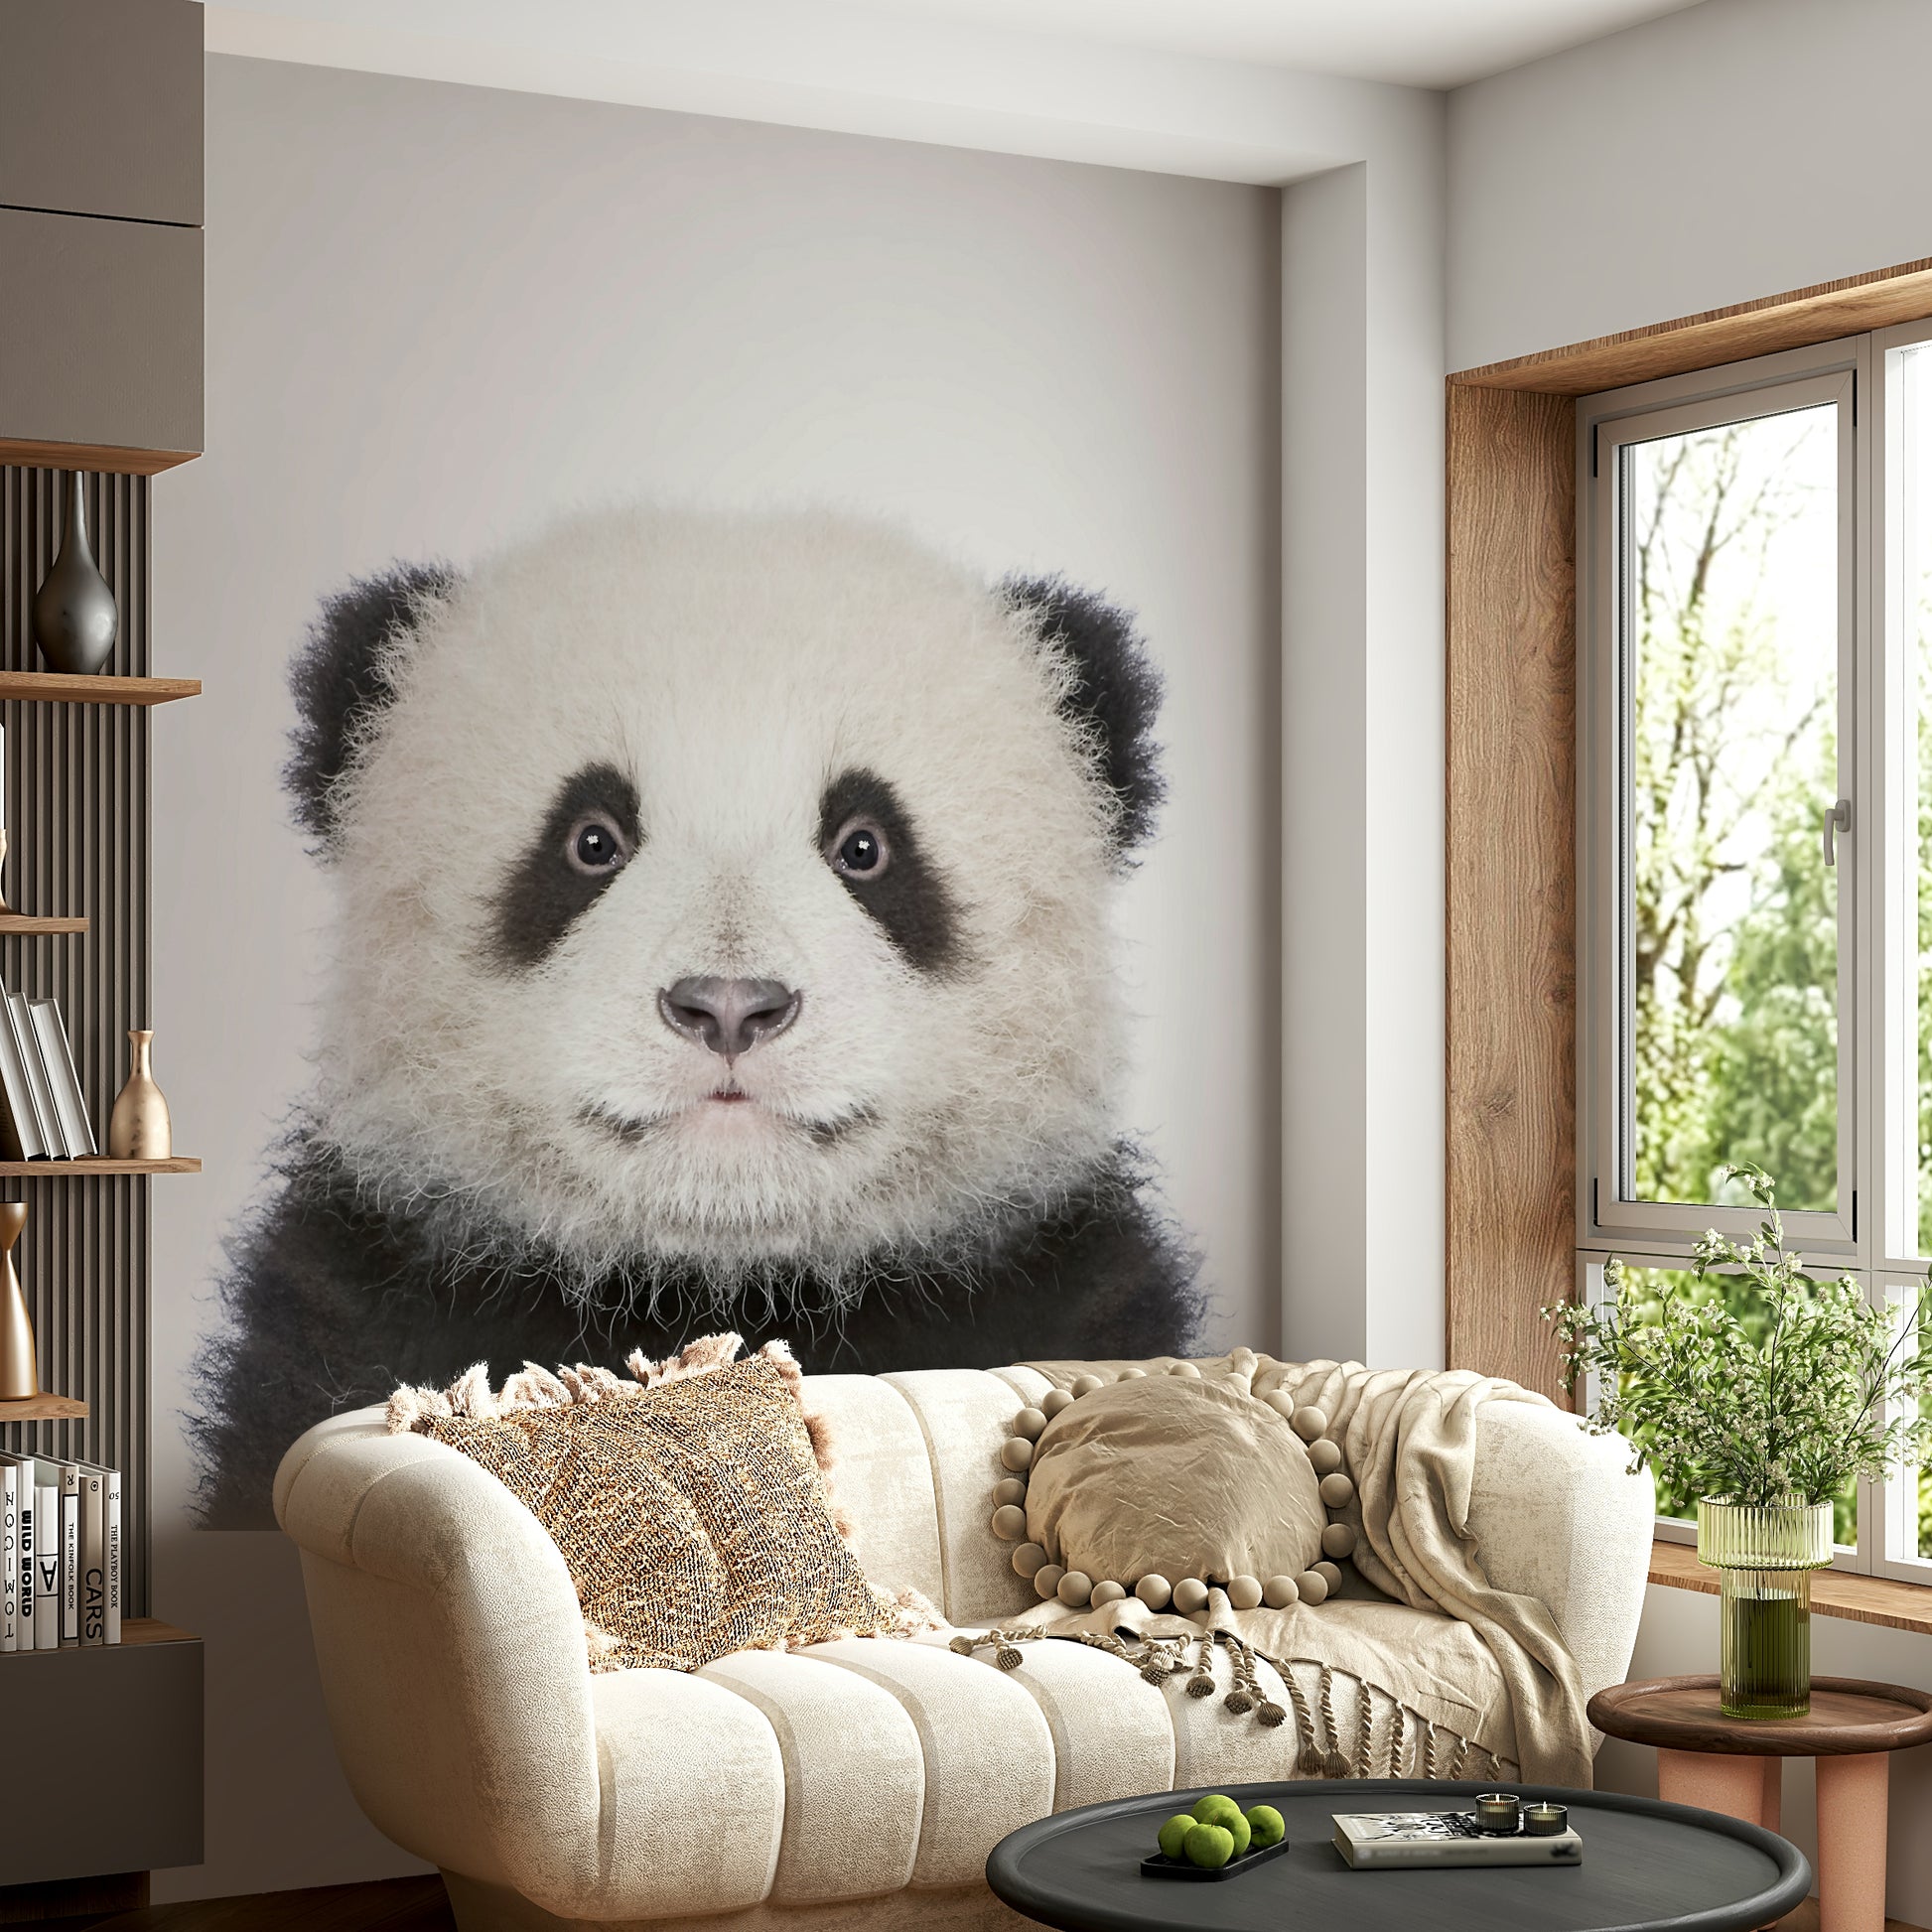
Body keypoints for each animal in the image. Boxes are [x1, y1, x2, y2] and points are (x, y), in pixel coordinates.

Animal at [189, 507, 1204, 1525]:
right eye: (590, 840)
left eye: (866, 846)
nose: (729, 1004)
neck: (713, 1289)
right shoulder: (373, 1297)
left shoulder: (1045, 1288)